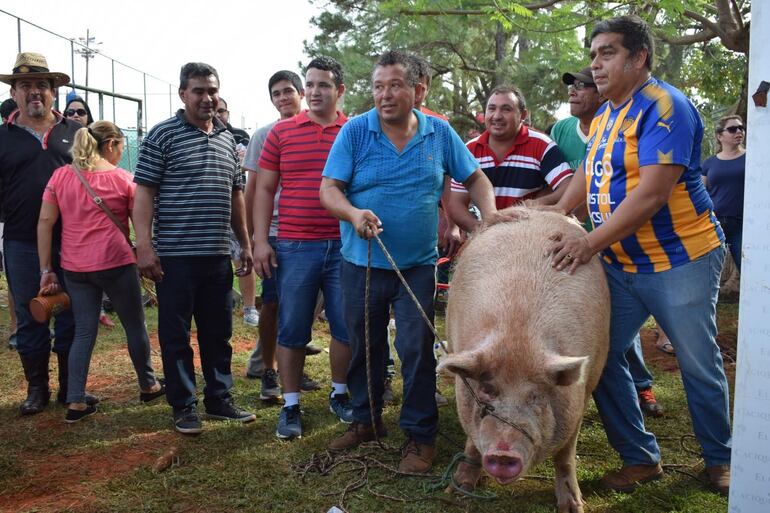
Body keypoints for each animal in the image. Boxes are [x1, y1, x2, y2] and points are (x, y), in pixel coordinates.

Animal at [438, 208, 608, 512]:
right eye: (487, 390)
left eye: (536, 396)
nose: (503, 454)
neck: (518, 338)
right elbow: (472, 441)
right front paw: (457, 491)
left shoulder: (582, 394)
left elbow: (565, 454)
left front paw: (573, 507)